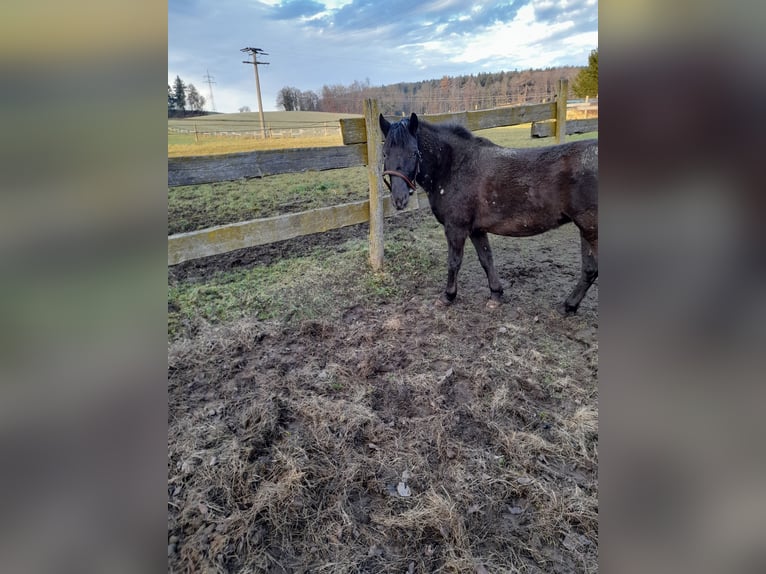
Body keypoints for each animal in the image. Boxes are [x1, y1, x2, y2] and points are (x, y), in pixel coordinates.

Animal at [379, 112, 598, 315]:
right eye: (385, 154)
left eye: (413, 153)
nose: (399, 199)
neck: (454, 166)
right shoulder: (476, 230)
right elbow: (486, 259)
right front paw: (496, 295)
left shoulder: (456, 228)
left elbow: (454, 262)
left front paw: (448, 296)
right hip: (586, 230)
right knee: (590, 270)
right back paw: (569, 306)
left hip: (590, 229)